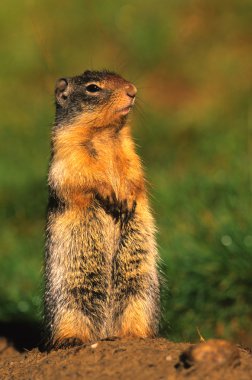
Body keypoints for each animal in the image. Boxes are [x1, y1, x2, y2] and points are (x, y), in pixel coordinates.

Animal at [44, 70, 159, 348]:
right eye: (93, 88)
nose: (132, 90)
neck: (105, 134)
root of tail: (104, 332)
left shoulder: (129, 148)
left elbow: (134, 171)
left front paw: (127, 198)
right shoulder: (67, 149)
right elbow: (81, 173)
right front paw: (110, 193)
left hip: (140, 289)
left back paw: (133, 336)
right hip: (69, 298)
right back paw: (71, 340)